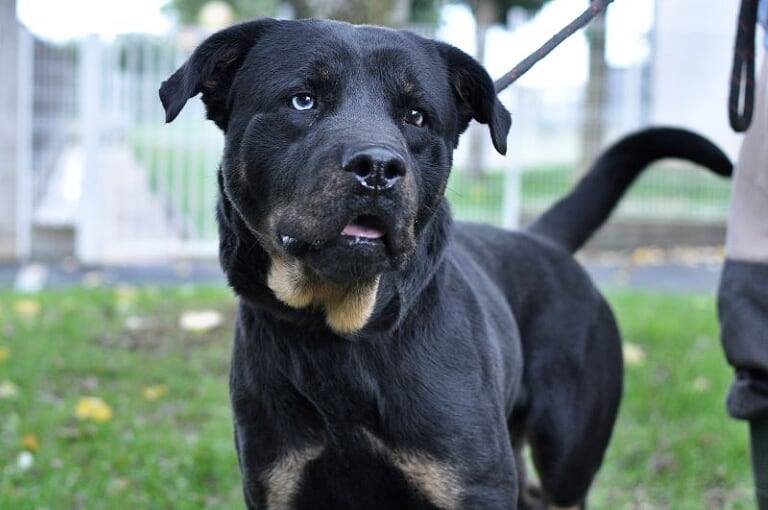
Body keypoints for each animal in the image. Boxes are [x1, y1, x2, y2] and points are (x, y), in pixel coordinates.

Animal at [160, 17, 732, 508]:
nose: (378, 167)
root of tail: (542, 239)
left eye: (416, 116)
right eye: (303, 100)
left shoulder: (470, 484)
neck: (341, 333)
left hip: (567, 460)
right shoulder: (278, 482)